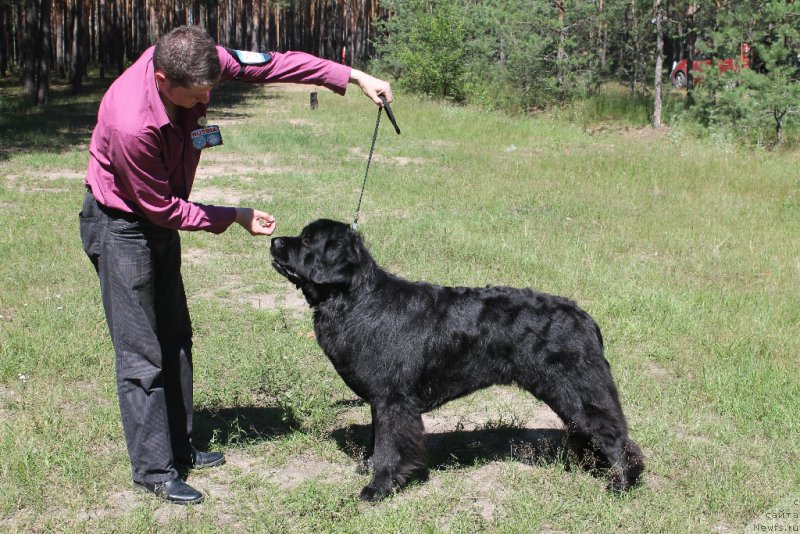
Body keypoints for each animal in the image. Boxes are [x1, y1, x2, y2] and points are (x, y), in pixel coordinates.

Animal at [272, 220, 648, 504]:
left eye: (308, 240)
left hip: (579, 389)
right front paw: (370, 466)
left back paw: (623, 482)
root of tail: (585, 318)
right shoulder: (381, 400)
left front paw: (378, 488)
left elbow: (391, 445)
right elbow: (378, 438)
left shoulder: (393, 399)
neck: (357, 299)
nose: (275, 240)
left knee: (613, 434)